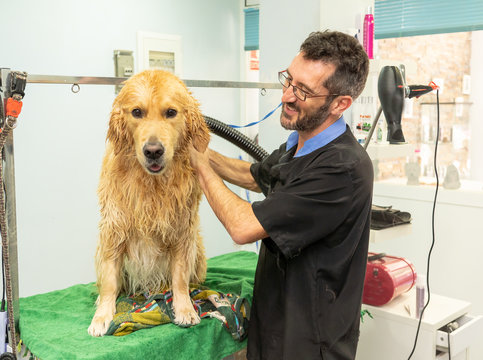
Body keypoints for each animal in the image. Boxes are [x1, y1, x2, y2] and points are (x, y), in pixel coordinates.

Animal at [88, 69, 209, 336]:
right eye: (137, 112)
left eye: (171, 112)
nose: (153, 151)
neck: (152, 184)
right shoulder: (114, 229)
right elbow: (110, 281)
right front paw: (102, 316)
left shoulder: (182, 230)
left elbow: (179, 277)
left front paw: (185, 308)